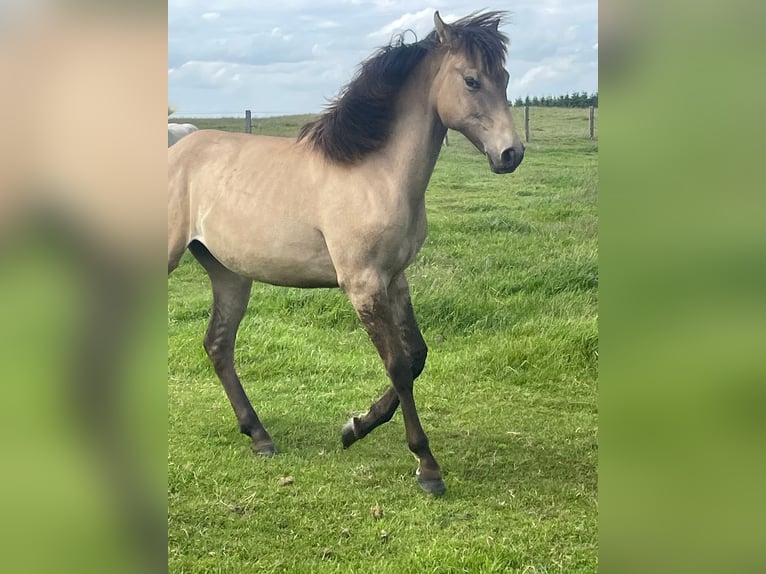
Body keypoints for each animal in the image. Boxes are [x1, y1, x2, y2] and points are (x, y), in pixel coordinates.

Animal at [168, 10, 524, 495]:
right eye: (471, 80)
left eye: (504, 78)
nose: (511, 154)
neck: (375, 173)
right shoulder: (362, 284)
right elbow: (397, 364)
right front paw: (426, 466)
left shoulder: (395, 279)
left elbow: (416, 356)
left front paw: (354, 427)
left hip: (229, 274)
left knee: (218, 345)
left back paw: (259, 436)